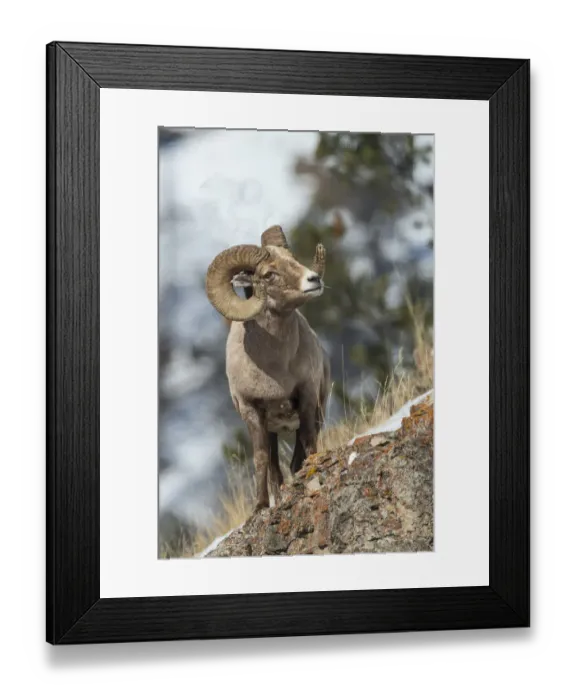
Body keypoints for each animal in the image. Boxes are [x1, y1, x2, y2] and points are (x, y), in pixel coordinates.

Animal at [205, 225, 330, 511]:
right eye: (269, 274)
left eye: (293, 259)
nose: (314, 280)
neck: (275, 369)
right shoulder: (252, 411)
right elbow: (262, 458)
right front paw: (261, 506)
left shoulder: (307, 396)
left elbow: (308, 440)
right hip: (273, 429)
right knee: (275, 468)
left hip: (317, 410)